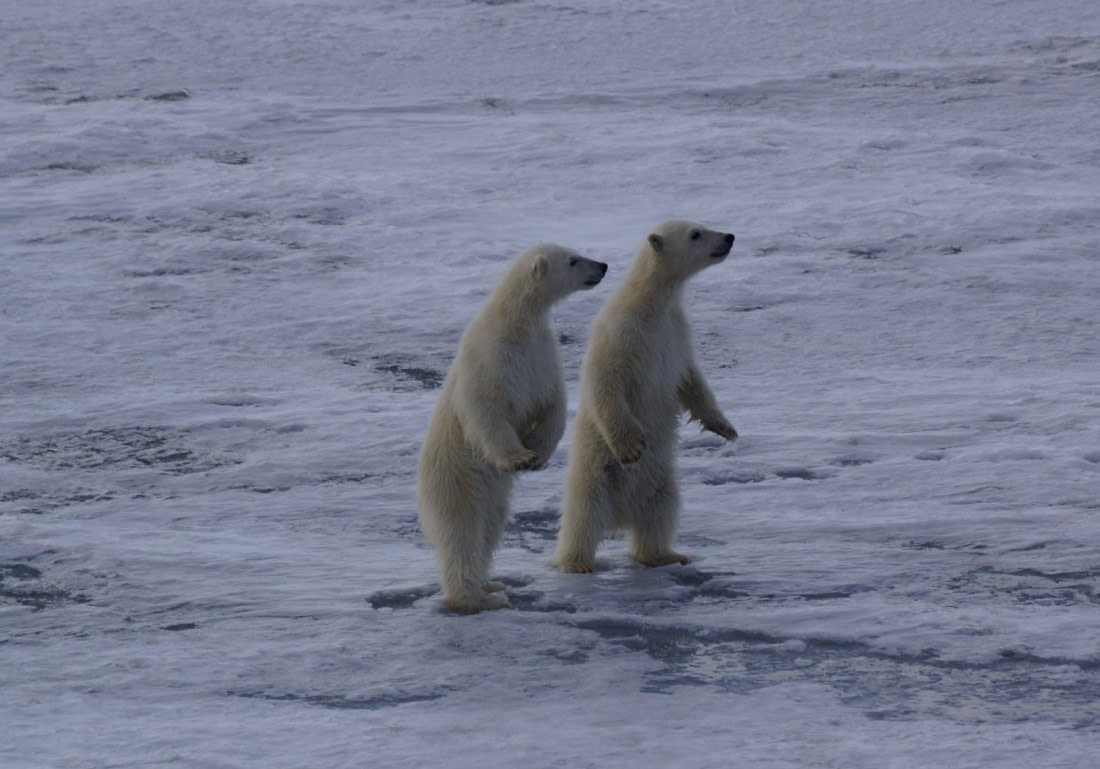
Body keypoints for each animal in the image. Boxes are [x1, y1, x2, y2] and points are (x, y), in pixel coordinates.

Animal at [418, 243, 608, 612]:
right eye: (573, 260)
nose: (603, 266)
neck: (515, 323)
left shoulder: (541, 353)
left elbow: (552, 403)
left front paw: (537, 454)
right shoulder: (492, 358)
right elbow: (486, 409)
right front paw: (519, 458)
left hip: (494, 497)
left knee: (490, 531)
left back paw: (491, 582)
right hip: (457, 479)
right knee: (462, 533)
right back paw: (476, 597)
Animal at [552, 220, 738, 574]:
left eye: (703, 225)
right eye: (695, 234)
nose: (729, 237)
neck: (650, 305)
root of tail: (620, 517)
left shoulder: (676, 333)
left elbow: (690, 379)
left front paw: (724, 427)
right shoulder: (622, 332)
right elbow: (606, 382)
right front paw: (631, 449)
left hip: (661, 481)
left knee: (660, 512)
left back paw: (667, 555)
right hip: (594, 473)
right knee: (583, 517)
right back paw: (576, 563)